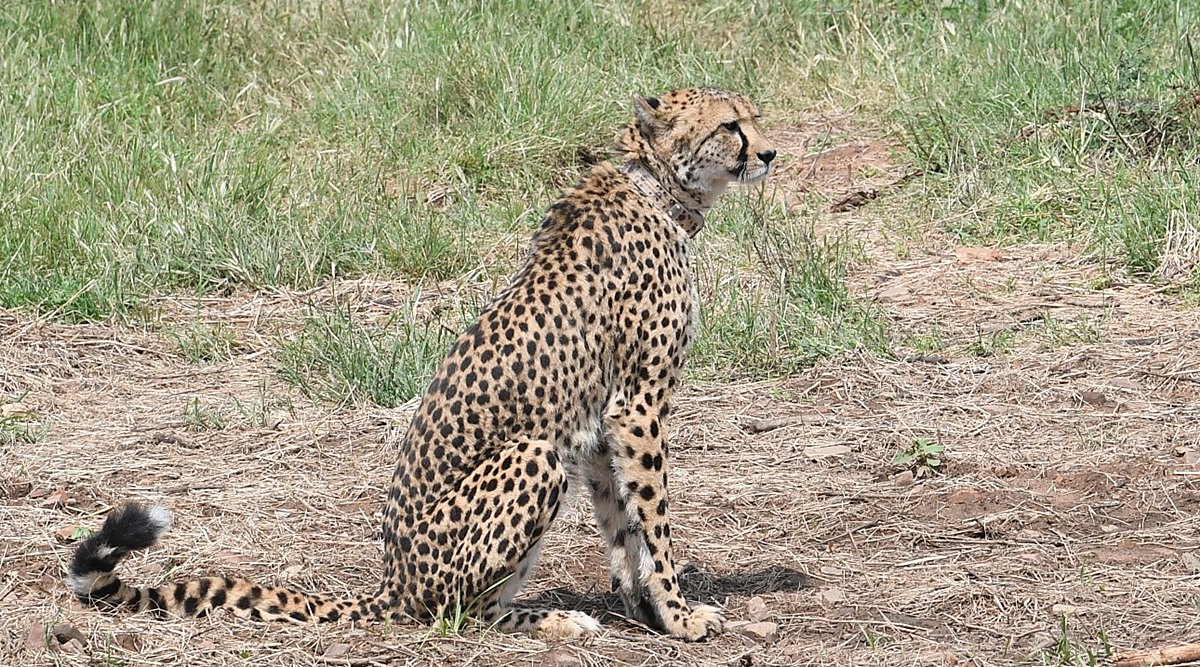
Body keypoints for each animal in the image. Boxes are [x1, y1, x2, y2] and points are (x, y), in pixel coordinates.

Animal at [66, 87, 776, 641]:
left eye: (754, 118)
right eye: (729, 125)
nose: (769, 153)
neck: (657, 186)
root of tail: (393, 579)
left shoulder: (602, 421)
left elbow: (622, 522)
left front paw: (642, 607)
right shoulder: (637, 404)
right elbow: (652, 520)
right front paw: (679, 615)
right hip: (532, 457)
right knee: (455, 612)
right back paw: (550, 620)